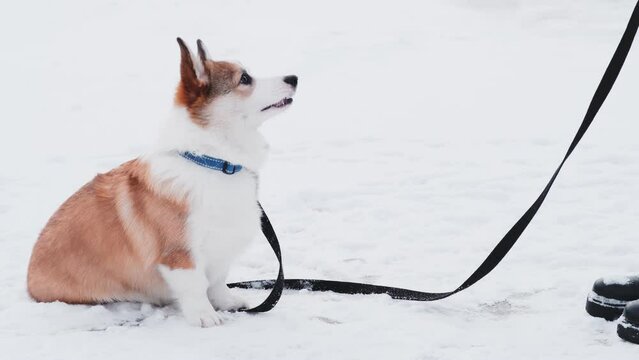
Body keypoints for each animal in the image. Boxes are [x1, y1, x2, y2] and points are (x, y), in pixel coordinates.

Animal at [27, 38, 300, 328]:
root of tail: (29, 277)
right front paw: (205, 316)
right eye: (245, 79)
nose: (294, 78)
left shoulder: (220, 248)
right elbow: (195, 286)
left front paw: (227, 302)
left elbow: (217, 282)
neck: (212, 161)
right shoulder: (179, 255)